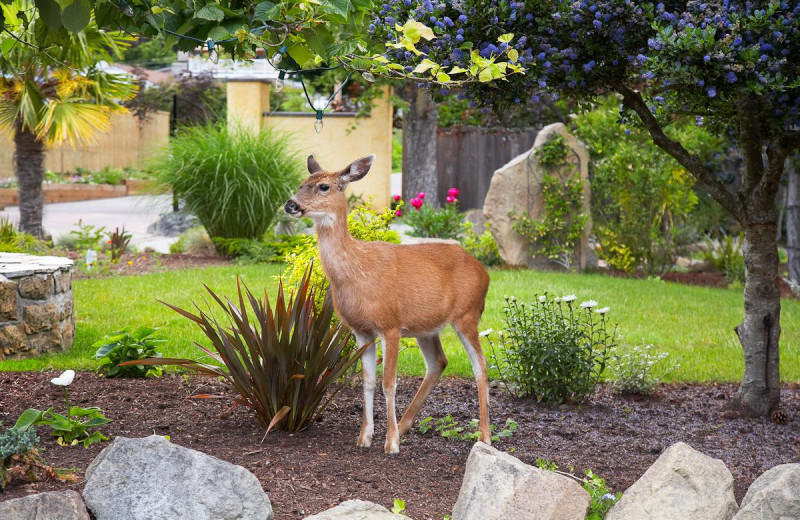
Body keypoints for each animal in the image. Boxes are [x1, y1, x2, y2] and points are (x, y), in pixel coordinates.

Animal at [284, 154, 490, 456]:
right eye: (301, 183)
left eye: (323, 186)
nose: (291, 204)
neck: (359, 273)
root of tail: (485, 272)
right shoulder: (361, 330)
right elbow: (368, 382)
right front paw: (365, 437)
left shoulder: (390, 324)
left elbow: (389, 383)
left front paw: (390, 443)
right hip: (426, 328)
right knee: (439, 362)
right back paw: (405, 426)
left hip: (467, 314)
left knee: (481, 366)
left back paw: (484, 436)